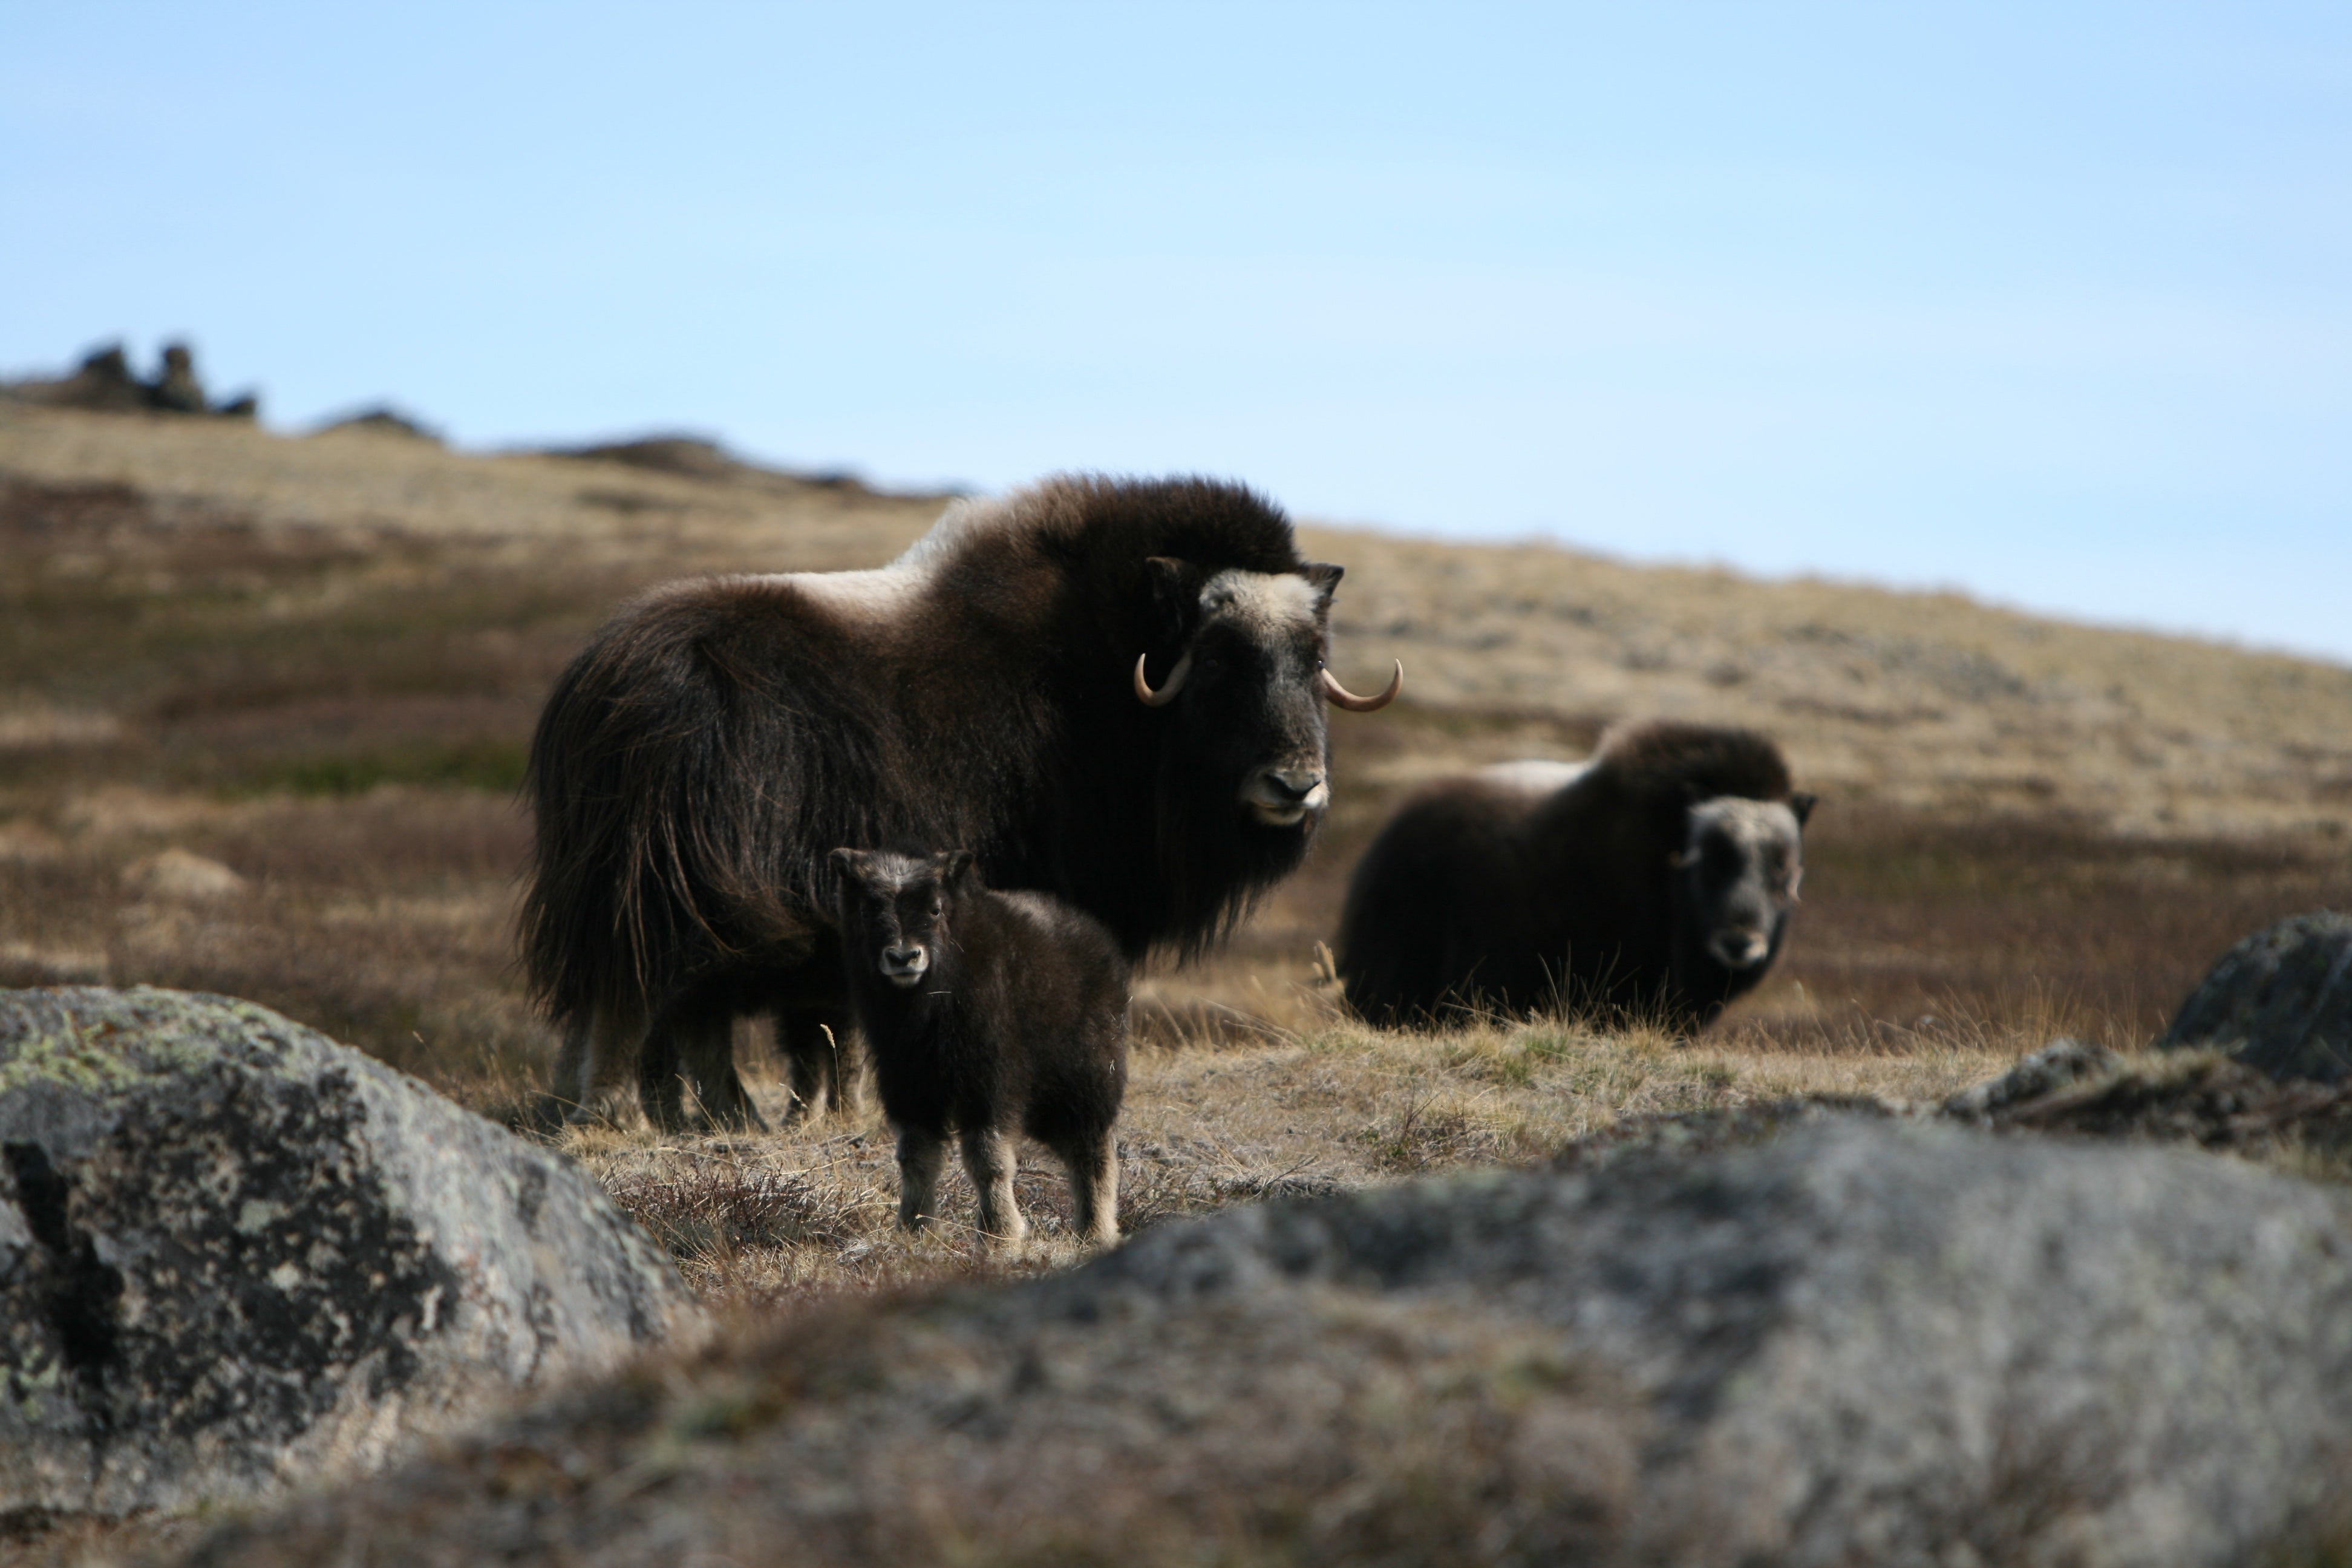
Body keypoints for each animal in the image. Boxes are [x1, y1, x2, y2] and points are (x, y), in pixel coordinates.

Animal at [832, 851, 1124, 1241]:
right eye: (867, 910)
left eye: (936, 909)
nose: (903, 958)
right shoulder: (908, 1085)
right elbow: (915, 1156)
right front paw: (914, 1229)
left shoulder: (989, 1082)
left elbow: (988, 1158)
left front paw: (1000, 1235)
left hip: (1086, 1081)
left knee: (1091, 1151)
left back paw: (1095, 1231)